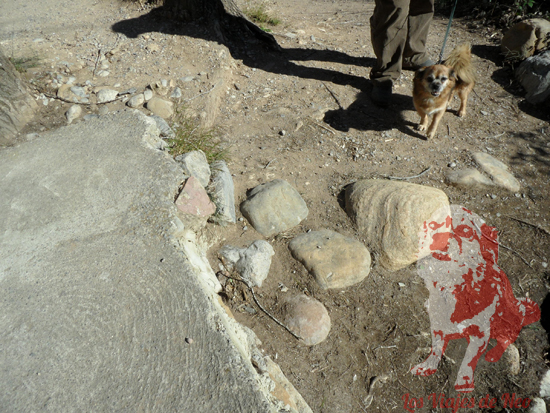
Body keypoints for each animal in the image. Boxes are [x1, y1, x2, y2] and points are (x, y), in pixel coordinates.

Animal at [414, 204, 544, 392]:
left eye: (466, 230)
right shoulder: (438, 327)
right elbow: (436, 347)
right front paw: (427, 366)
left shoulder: (480, 335)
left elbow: (468, 360)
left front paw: (463, 381)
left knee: (508, 338)